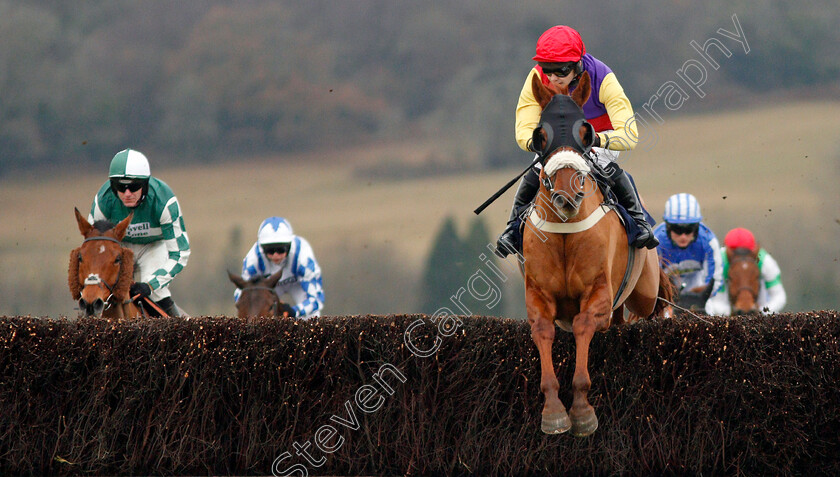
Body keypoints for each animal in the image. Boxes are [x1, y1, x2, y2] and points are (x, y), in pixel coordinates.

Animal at [520, 71, 672, 436]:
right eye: (540, 135)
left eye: (585, 132)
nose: (566, 196)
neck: (565, 231)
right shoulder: (537, 293)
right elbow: (543, 329)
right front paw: (554, 412)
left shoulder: (599, 290)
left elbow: (582, 324)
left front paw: (582, 411)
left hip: (644, 291)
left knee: (645, 306)